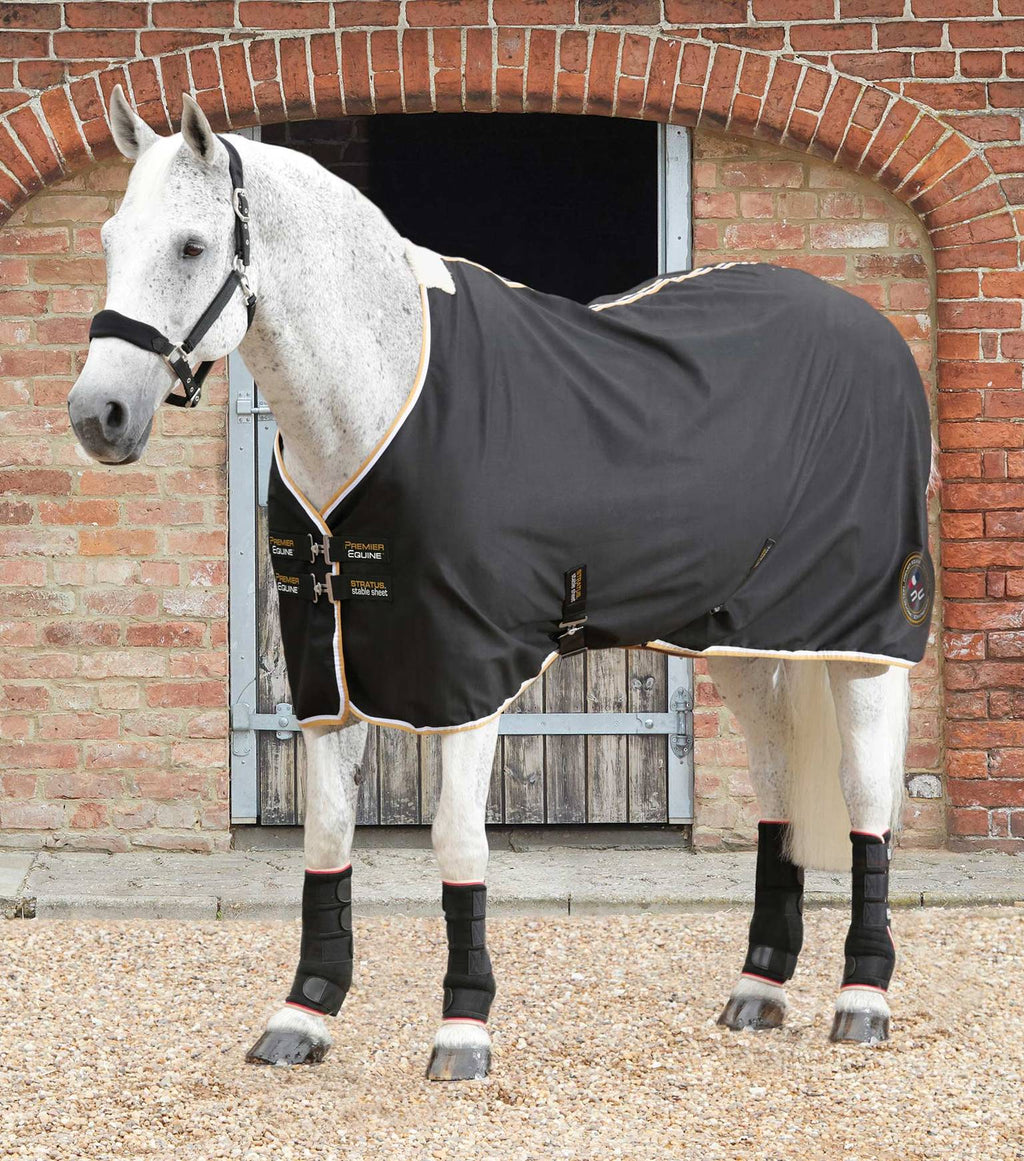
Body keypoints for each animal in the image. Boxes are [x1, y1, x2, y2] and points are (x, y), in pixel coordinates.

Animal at [66, 88, 938, 1081]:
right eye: (110, 237)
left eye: (191, 246)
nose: (97, 415)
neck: (381, 401)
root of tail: (872, 330)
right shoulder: (327, 673)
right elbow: (325, 834)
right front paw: (303, 1012)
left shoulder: (465, 674)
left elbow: (456, 839)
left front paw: (462, 1026)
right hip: (743, 641)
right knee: (778, 788)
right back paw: (759, 989)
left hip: (869, 638)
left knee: (866, 800)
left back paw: (862, 998)